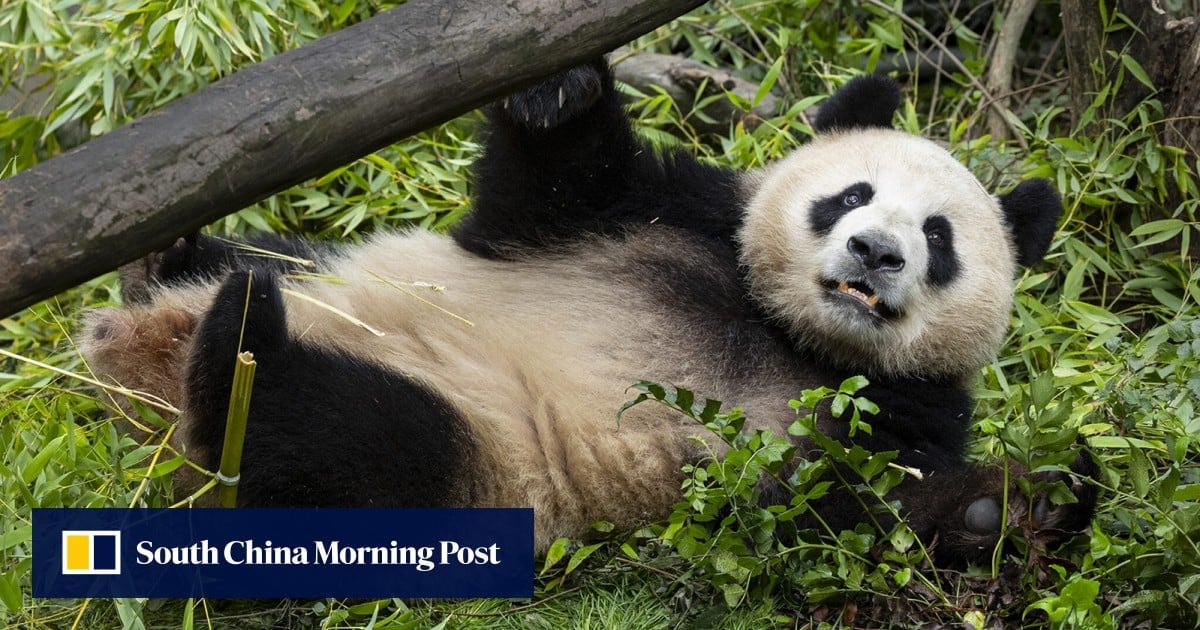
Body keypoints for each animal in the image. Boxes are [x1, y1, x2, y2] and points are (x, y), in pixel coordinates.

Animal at [79, 60, 1099, 564]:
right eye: (851, 196)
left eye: (937, 236)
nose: (876, 253)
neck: (782, 329)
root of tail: (143, 367)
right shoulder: (671, 214)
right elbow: (546, 193)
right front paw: (556, 89)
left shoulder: (896, 406)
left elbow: (839, 508)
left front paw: (1017, 505)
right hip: (330, 272)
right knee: (268, 269)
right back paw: (166, 269)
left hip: (484, 467)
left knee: (340, 440)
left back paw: (233, 360)